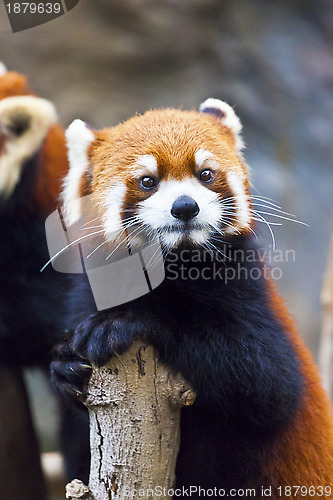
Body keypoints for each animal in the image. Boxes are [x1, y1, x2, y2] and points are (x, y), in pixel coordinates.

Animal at [50, 99, 332, 498]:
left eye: (206, 174)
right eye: (148, 181)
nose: (185, 206)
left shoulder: (249, 291)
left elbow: (271, 385)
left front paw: (131, 321)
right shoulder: (88, 292)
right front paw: (63, 364)